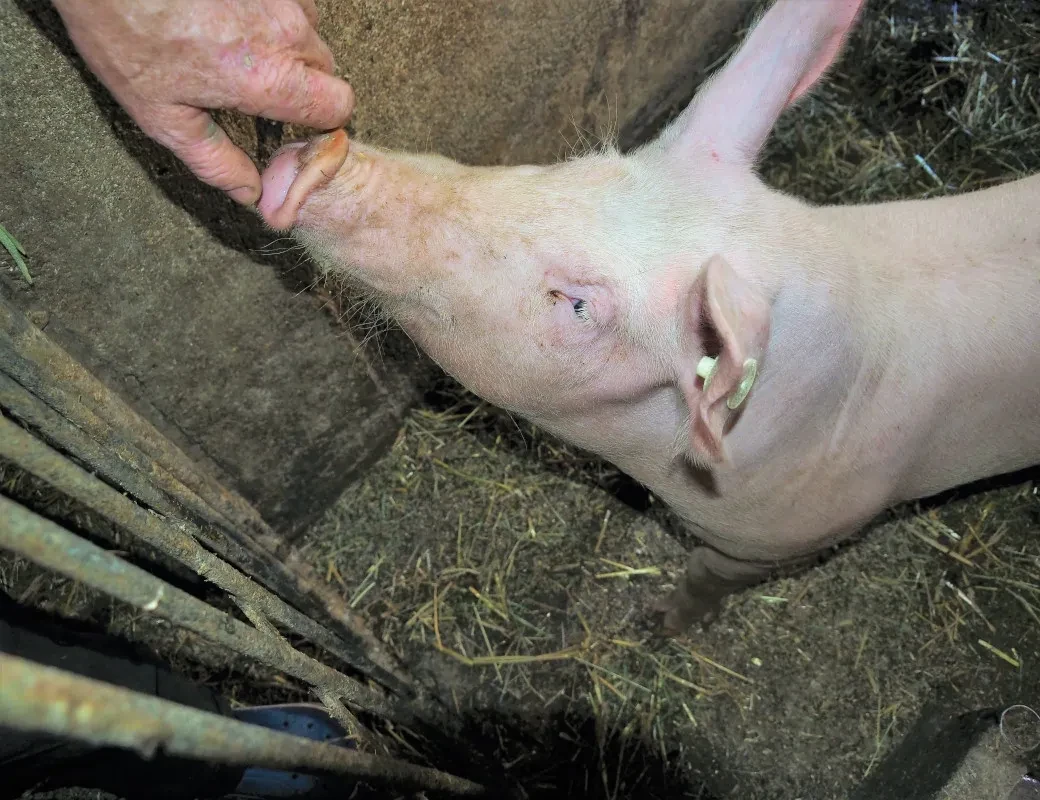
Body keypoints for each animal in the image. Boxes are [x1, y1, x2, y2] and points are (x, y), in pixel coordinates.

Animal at [255, 0, 1040, 636]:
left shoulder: (776, 540)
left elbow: (707, 576)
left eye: (576, 304)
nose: (321, 157)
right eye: (574, 168)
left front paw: (659, 624)